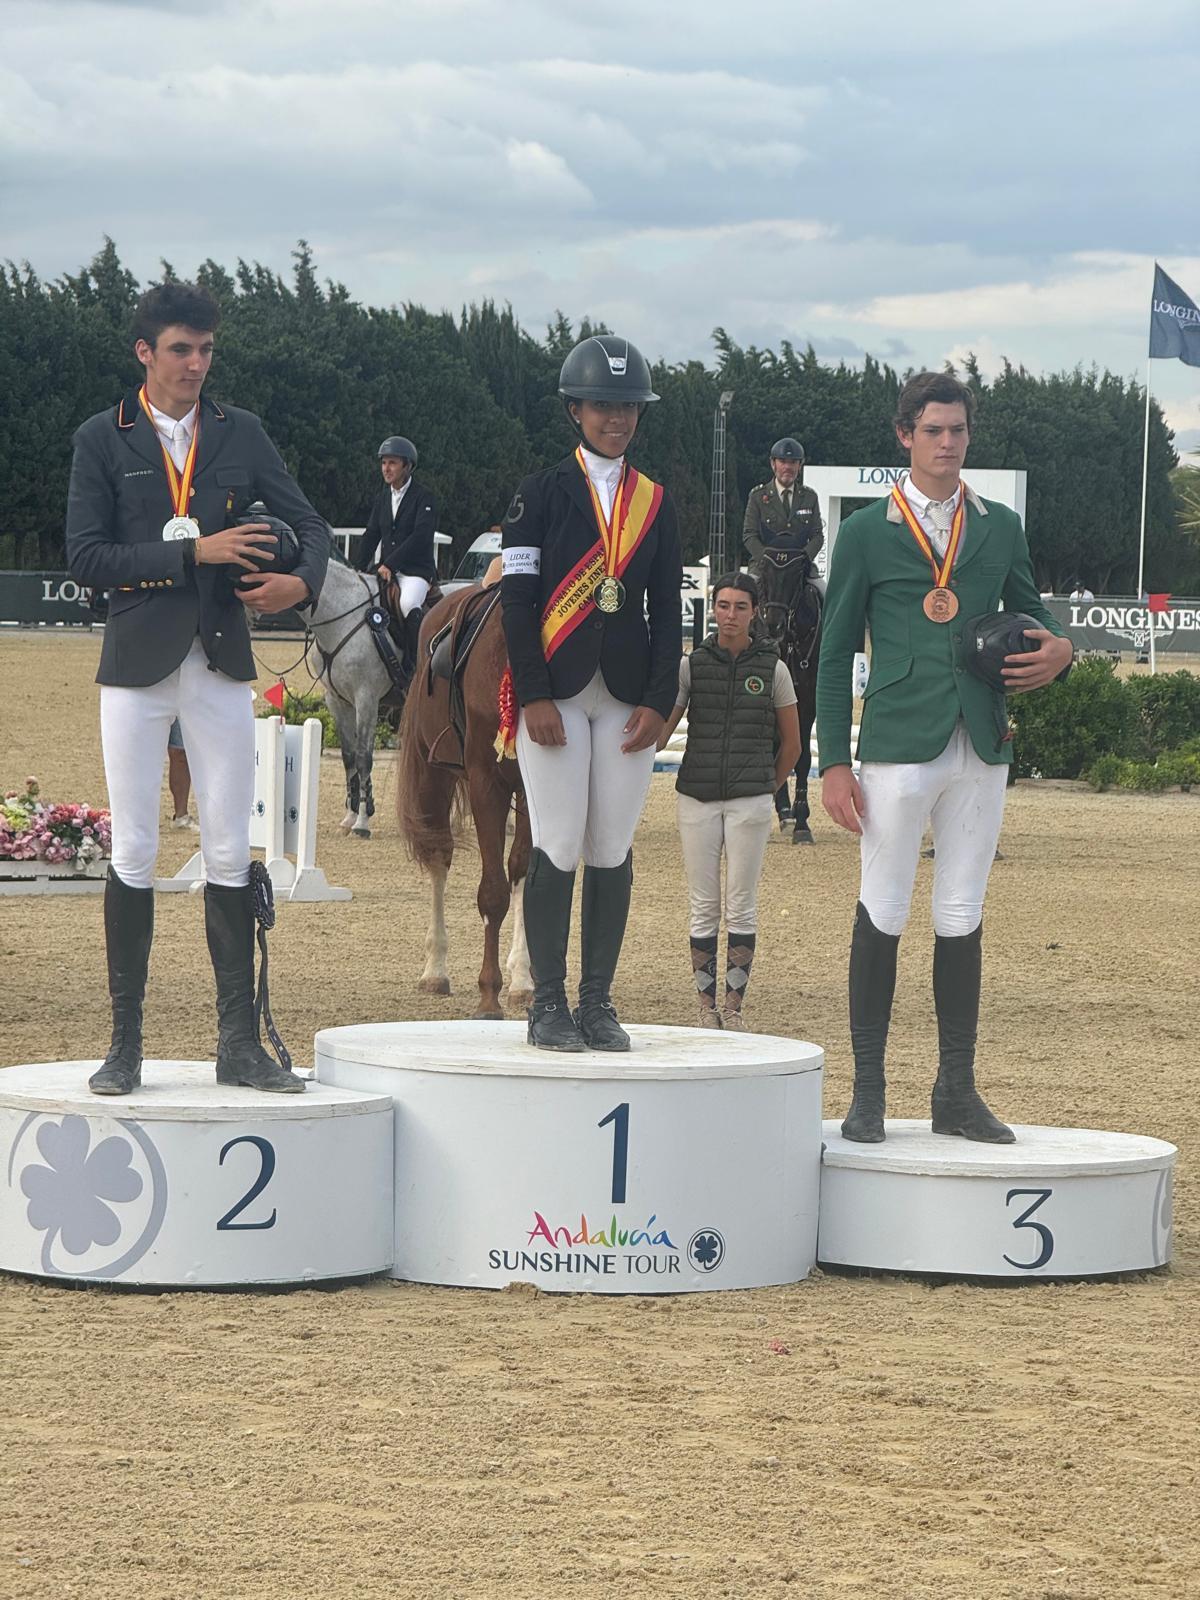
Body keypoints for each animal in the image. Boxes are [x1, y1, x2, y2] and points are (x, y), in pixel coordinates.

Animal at [396, 585, 534, 1011]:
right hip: (433, 779)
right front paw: (489, 997)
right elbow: (492, 892)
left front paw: (522, 979)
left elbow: (522, 873)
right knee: (439, 857)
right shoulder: (486, 783)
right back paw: (435, 971)